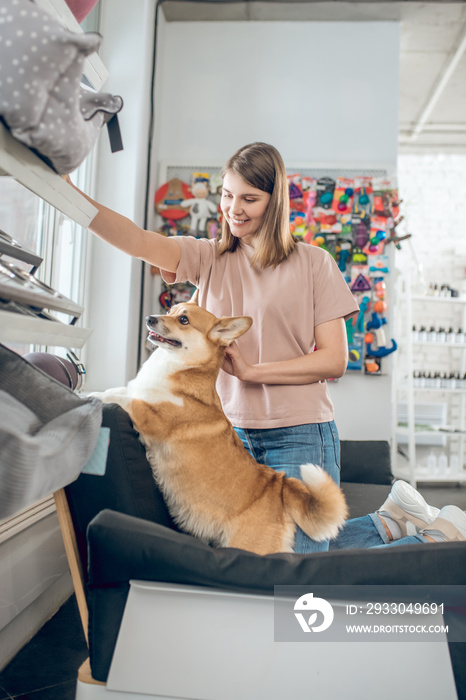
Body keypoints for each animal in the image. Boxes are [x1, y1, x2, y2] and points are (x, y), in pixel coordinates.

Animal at [92, 298, 346, 556]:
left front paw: (93, 397)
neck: (177, 369)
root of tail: (279, 486)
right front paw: (96, 391)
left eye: (183, 319)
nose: (149, 319)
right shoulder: (137, 393)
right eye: (170, 310)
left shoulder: (150, 417)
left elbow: (122, 399)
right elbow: (119, 390)